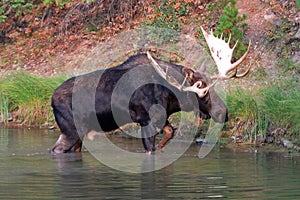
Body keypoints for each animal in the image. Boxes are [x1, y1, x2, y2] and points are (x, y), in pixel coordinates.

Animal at [50, 27, 250, 154]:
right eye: (203, 92)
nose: (223, 112)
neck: (171, 95)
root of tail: (51, 99)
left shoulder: (162, 118)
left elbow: (169, 133)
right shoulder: (146, 121)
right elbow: (150, 149)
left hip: (79, 133)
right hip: (71, 130)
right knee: (55, 150)